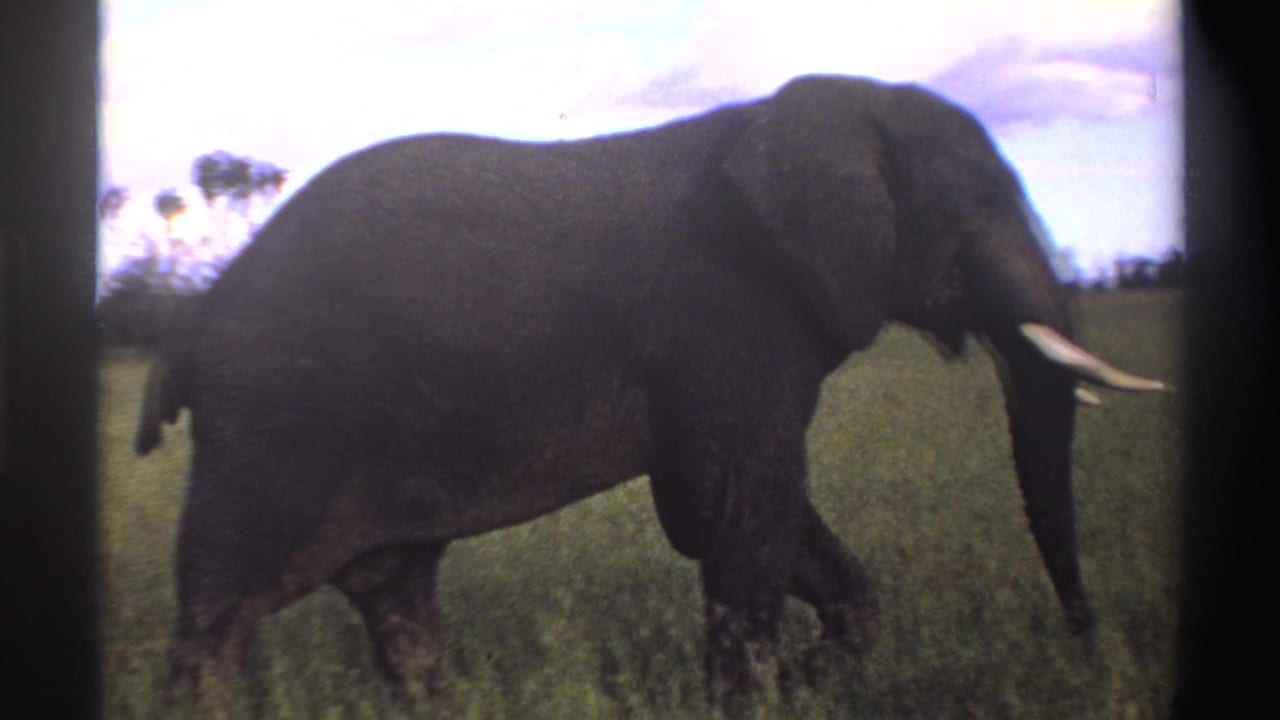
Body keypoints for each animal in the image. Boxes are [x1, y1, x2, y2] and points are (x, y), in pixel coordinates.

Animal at [135, 74, 1166, 716]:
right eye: (984, 206)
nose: (1084, 639)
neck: (808, 113)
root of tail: (197, 319)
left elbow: (738, 514)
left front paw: (808, 680)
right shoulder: (730, 312)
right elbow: (737, 509)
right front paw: (767, 695)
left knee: (397, 600)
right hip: (271, 426)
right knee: (218, 621)